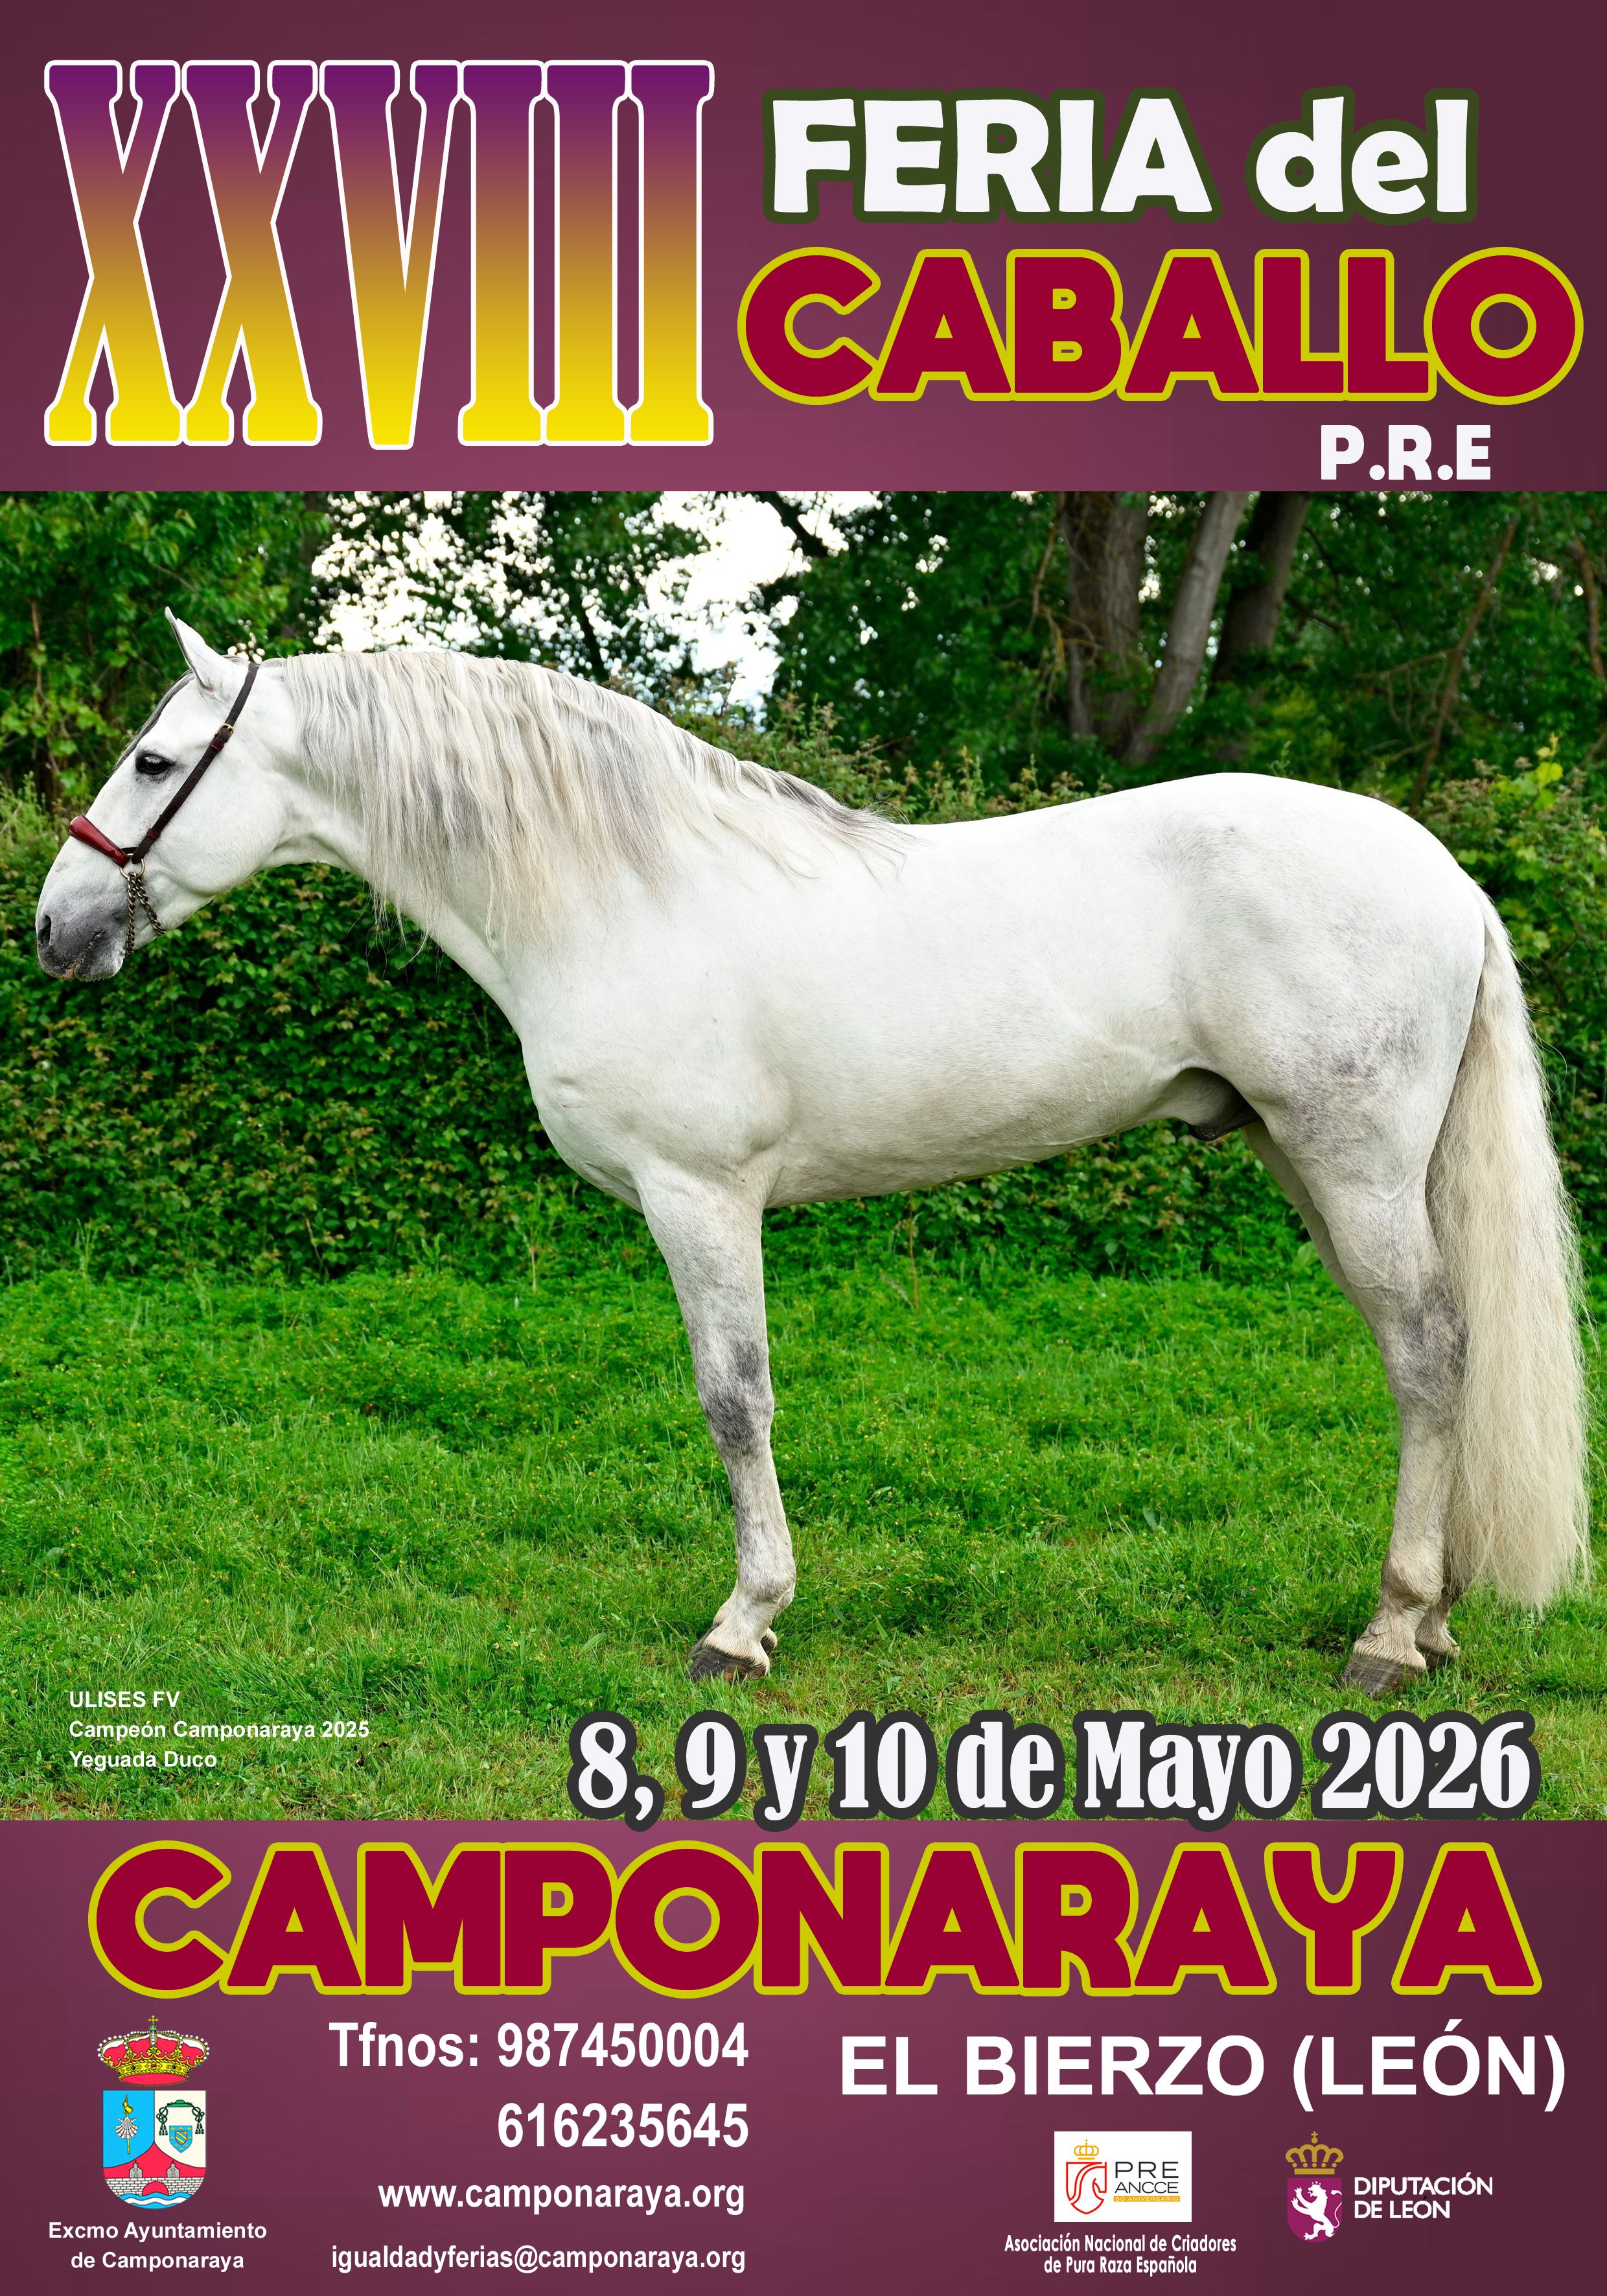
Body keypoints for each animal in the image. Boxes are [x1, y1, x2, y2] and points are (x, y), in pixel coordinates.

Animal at [35, 616, 1589, 1695]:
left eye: (156, 761)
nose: (55, 929)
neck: (623, 896)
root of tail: (1443, 872)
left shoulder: (700, 1198)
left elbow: (735, 1401)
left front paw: (744, 1623)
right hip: (1311, 1162)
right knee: (1423, 1357)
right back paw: (1435, 1621)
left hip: (1352, 1162)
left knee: (1430, 1351)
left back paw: (1392, 1630)